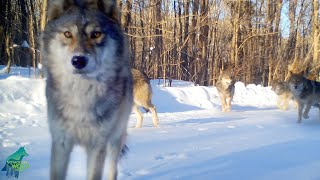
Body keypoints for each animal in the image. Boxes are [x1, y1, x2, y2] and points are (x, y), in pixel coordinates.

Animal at [40, 0, 132, 179]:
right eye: (68, 34)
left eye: (96, 34)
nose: (78, 60)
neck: (81, 95)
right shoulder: (61, 142)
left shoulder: (98, 145)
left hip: (115, 138)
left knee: (113, 169)